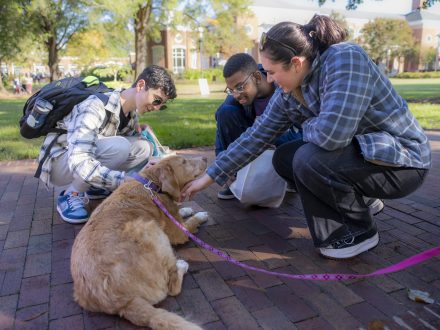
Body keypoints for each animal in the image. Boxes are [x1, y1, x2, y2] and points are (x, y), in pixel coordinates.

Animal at [71, 155, 209, 330]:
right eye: (184, 162)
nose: (205, 157)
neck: (153, 184)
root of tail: (123, 303)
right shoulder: (178, 232)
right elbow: (190, 222)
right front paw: (200, 215)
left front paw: (185, 209)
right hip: (150, 229)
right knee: (172, 288)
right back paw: (182, 266)